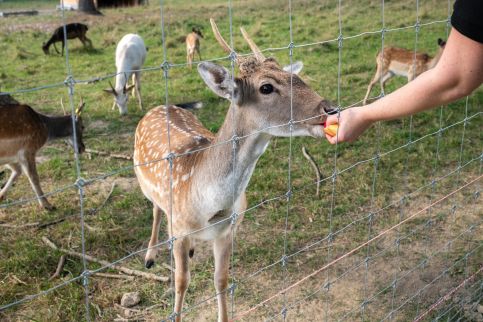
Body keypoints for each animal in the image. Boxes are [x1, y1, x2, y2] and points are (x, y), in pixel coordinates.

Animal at [133, 18, 336, 322]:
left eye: (295, 76)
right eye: (266, 87)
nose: (329, 108)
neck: (208, 205)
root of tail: (161, 105)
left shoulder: (228, 230)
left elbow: (222, 279)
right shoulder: (179, 228)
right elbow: (181, 282)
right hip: (148, 187)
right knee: (157, 209)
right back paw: (150, 256)